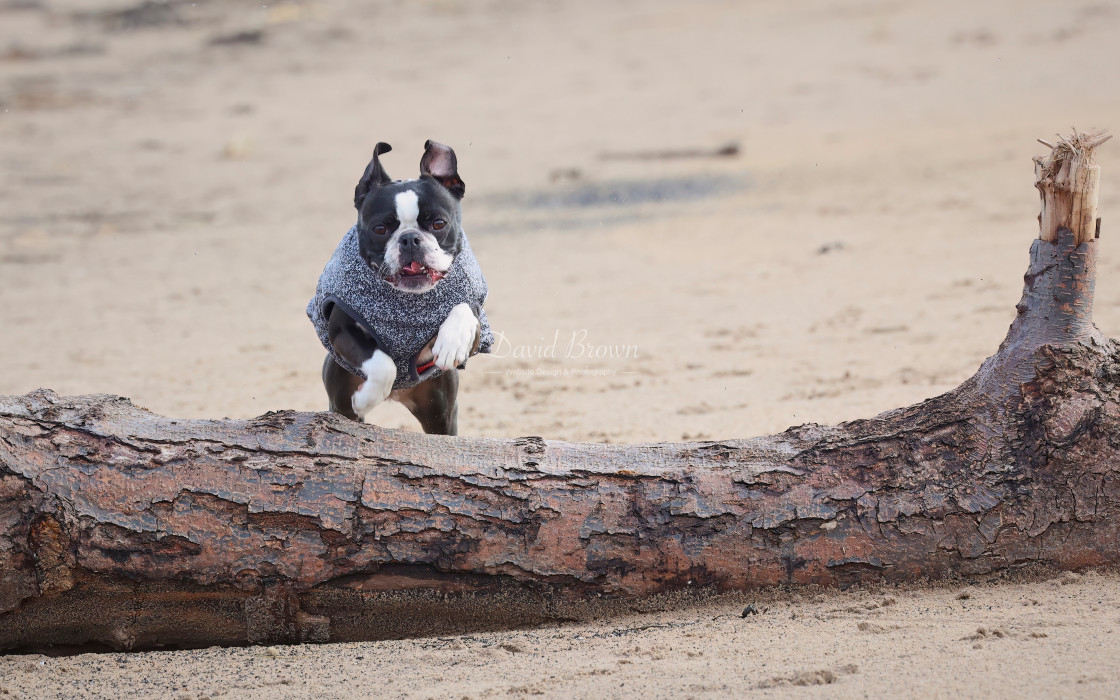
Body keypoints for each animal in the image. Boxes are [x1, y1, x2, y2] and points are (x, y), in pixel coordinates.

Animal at [309, 140, 497, 434]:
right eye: (380, 229)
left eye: (439, 223)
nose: (409, 239)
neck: (408, 299)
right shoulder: (341, 329)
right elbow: (384, 365)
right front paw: (365, 398)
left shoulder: (477, 324)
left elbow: (465, 310)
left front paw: (451, 342)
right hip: (340, 398)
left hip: (440, 412)